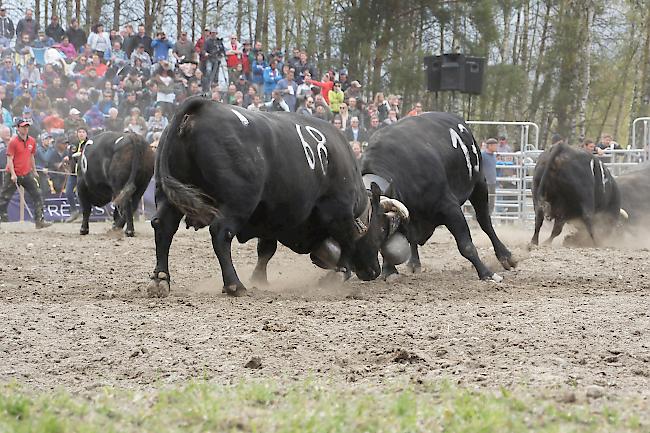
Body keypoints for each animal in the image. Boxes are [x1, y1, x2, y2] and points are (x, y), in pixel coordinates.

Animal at [149, 96, 408, 296]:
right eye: (381, 230)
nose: (374, 271)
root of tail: (201, 106)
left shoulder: (270, 217)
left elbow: (266, 249)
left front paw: (260, 278)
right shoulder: (338, 212)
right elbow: (347, 240)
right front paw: (340, 273)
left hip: (168, 198)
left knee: (163, 227)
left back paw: (161, 278)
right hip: (236, 203)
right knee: (221, 234)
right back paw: (234, 284)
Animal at [360, 111, 516, 280]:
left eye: (380, 228)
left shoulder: (449, 207)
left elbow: (466, 246)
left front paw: (486, 273)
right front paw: (389, 270)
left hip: (479, 183)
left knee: (485, 222)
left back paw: (505, 256)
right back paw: (414, 262)